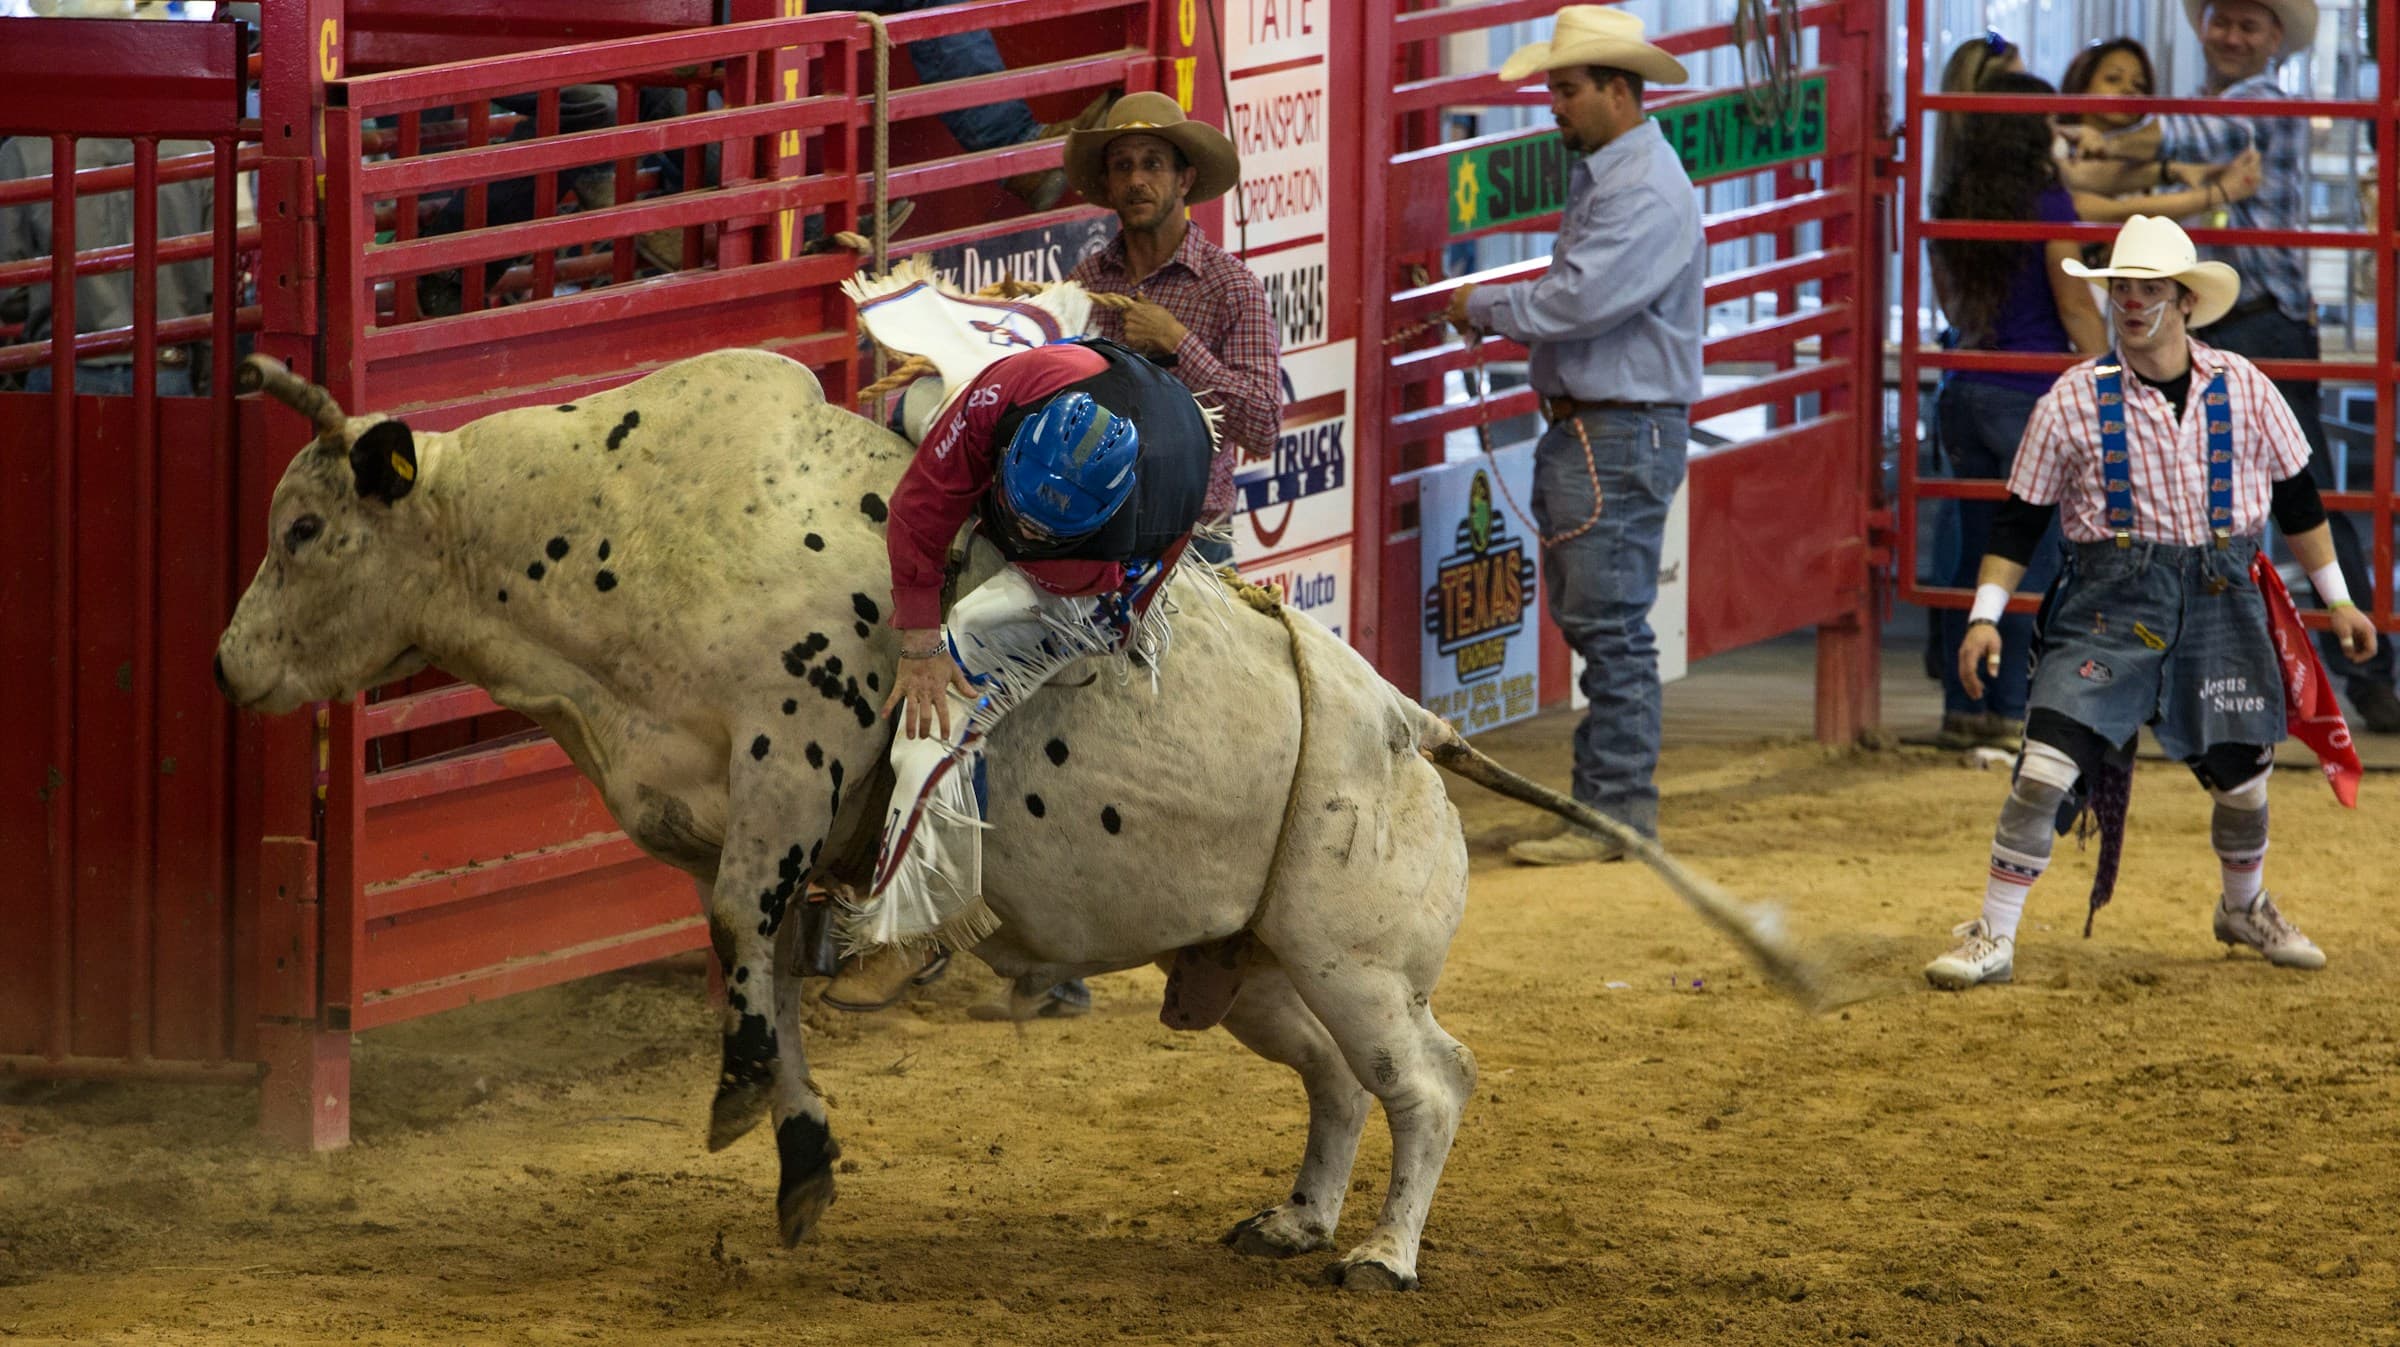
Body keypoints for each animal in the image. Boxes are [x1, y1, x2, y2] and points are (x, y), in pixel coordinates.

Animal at [216, 343, 1804, 1277]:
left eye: (304, 527)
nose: (231, 667)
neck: (617, 530)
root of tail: (1413, 724)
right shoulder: (752, 828)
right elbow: (760, 965)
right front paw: (801, 1156)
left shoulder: (793, 762)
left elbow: (742, 936)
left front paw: (742, 1106)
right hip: (1248, 967)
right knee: (1340, 1083)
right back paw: (1294, 1218)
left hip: (1357, 957)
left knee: (1431, 1079)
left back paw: (1382, 1255)